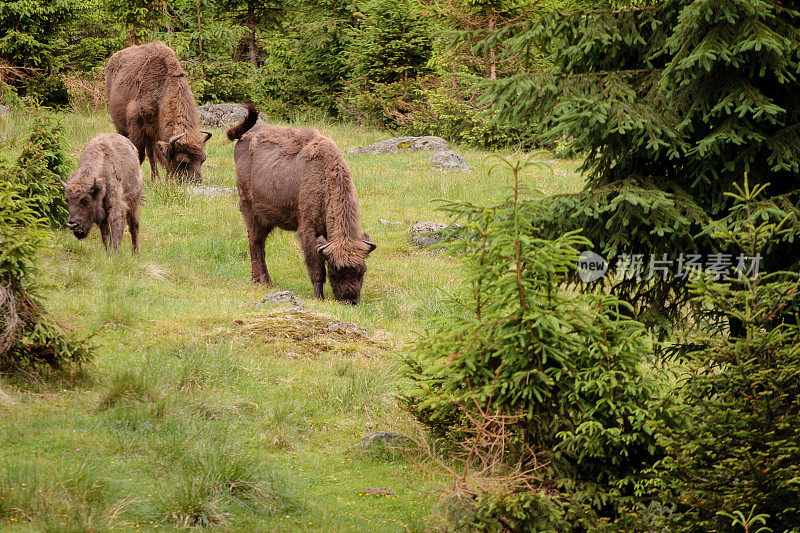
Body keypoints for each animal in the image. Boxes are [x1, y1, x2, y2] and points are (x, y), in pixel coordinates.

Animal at [106, 41, 212, 183]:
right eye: (182, 161)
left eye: (203, 159)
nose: (196, 182)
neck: (163, 89)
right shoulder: (137, 127)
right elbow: (139, 155)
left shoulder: (155, 132)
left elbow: (155, 155)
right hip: (120, 125)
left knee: (151, 155)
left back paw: (155, 178)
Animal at [225, 104, 376, 304]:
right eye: (334, 271)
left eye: (362, 271)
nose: (350, 300)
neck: (325, 177)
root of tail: (243, 137)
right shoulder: (308, 230)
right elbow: (316, 268)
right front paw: (319, 297)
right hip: (251, 211)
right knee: (256, 244)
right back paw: (264, 282)